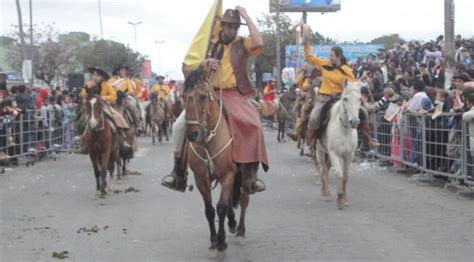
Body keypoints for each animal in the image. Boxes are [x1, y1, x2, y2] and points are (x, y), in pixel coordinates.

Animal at [182, 68, 256, 258]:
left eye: (203, 97)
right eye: (183, 96)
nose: (192, 134)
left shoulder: (228, 174)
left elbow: (221, 207)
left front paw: (221, 244)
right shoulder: (201, 178)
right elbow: (209, 210)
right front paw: (213, 242)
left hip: (243, 173)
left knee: (244, 199)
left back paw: (240, 231)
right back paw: (232, 223)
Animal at [314, 81, 362, 210]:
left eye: (360, 99)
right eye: (345, 98)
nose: (354, 122)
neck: (344, 131)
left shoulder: (349, 155)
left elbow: (345, 176)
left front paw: (345, 199)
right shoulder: (334, 154)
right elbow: (339, 174)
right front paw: (340, 199)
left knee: (326, 169)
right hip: (320, 151)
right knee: (323, 170)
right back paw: (326, 194)